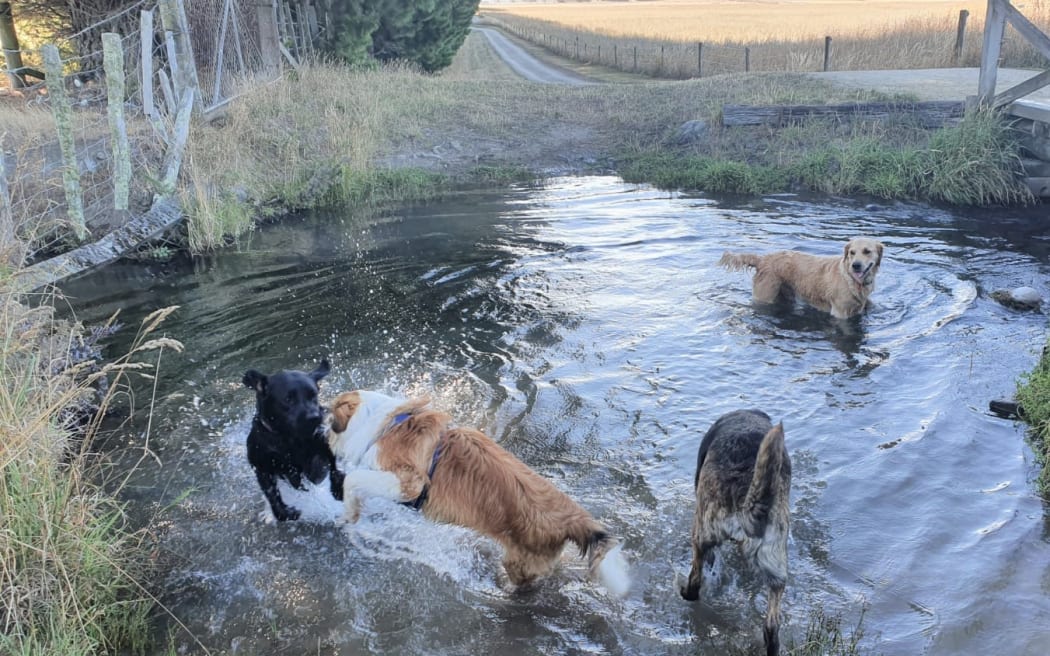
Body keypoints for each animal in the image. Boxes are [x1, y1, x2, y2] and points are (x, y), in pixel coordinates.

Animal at [241, 358, 344, 522]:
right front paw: (285, 513)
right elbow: (272, 495)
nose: (315, 417)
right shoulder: (262, 469)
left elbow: (326, 466)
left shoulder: (323, 445)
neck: (287, 439)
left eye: (313, 395)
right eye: (288, 399)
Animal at [323, 388, 625, 600]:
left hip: (519, 563)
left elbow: (353, 480)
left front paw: (348, 515)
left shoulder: (408, 482)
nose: (323, 438)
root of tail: (572, 518)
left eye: (329, 422)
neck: (388, 425)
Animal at [718, 236, 881, 319]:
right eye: (852, 252)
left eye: (867, 251)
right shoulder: (839, 314)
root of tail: (763, 259)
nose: (856, 265)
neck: (851, 279)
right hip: (764, 295)